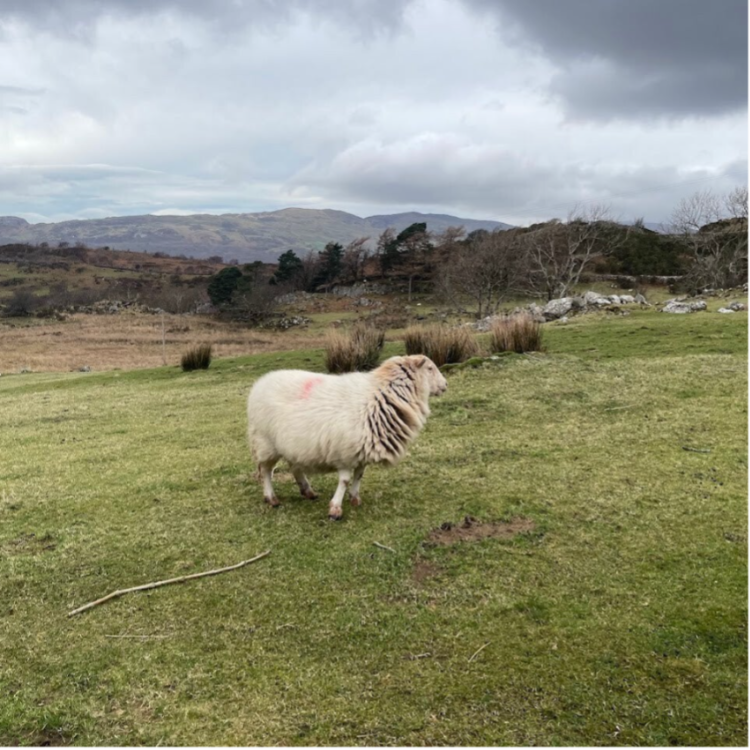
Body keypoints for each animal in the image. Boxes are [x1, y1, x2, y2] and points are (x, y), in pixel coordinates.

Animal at [247, 354, 447, 520]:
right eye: (430, 368)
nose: (445, 385)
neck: (380, 396)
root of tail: (260, 383)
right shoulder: (344, 453)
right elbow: (344, 480)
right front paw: (335, 509)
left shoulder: (362, 451)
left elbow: (359, 476)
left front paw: (354, 498)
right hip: (265, 442)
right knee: (266, 471)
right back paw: (271, 498)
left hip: (290, 444)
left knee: (294, 466)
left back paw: (308, 491)